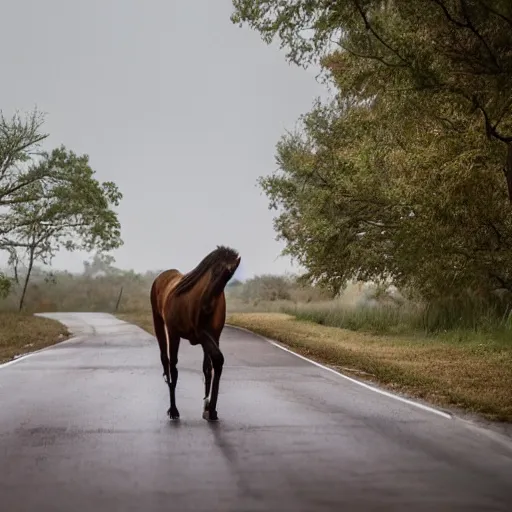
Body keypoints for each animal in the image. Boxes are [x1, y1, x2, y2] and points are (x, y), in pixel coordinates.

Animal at [149, 246, 241, 422]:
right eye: (215, 271)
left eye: (229, 276)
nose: (207, 306)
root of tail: (161, 277)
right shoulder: (197, 335)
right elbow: (177, 368)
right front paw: (176, 410)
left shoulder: (214, 337)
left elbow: (210, 367)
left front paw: (209, 409)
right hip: (164, 327)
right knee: (168, 363)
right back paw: (173, 409)